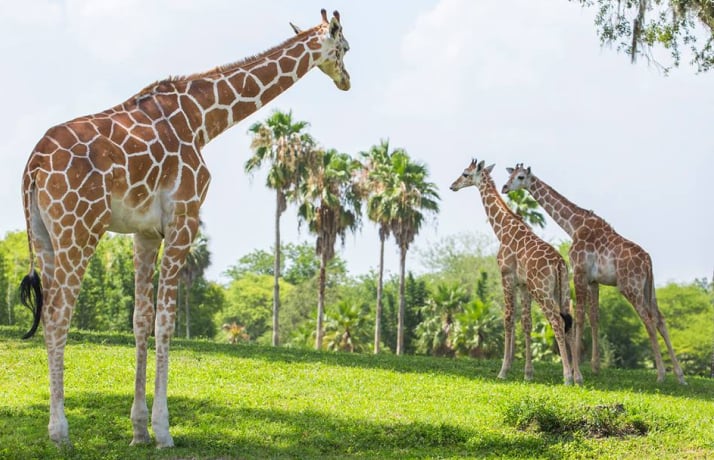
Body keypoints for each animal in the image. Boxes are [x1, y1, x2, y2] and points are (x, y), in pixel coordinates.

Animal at [18, 9, 350, 447]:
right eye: (345, 47)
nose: (347, 80)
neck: (202, 119)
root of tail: (34, 166)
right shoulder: (184, 219)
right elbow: (166, 322)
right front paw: (163, 431)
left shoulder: (143, 232)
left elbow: (141, 321)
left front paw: (139, 430)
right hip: (80, 228)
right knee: (58, 316)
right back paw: (60, 432)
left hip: (44, 235)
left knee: (49, 315)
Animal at [450, 159, 582, 385]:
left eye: (465, 173)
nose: (453, 185)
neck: (503, 228)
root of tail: (559, 263)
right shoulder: (523, 285)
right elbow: (527, 323)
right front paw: (528, 373)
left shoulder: (507, 276)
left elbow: (508, 318)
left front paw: (503, 370)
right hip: (563, 291)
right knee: (569, 322)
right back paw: (578, 376)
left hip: (542, 291)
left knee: (557, 321)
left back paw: (567, 377)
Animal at [502, 163, 686, 384]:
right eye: (510, 174)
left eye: (520, 177)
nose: (504, 187)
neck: (573, 225)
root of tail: (648, 261)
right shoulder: (594, 281)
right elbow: (594, 317)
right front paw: (595, 367)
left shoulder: (579, 272)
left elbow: (579, 316)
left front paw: (576, 371)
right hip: (649, 289)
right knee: (660, 320)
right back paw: (680, 376)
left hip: (630, 288)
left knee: (648, 322)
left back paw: (661, 375)